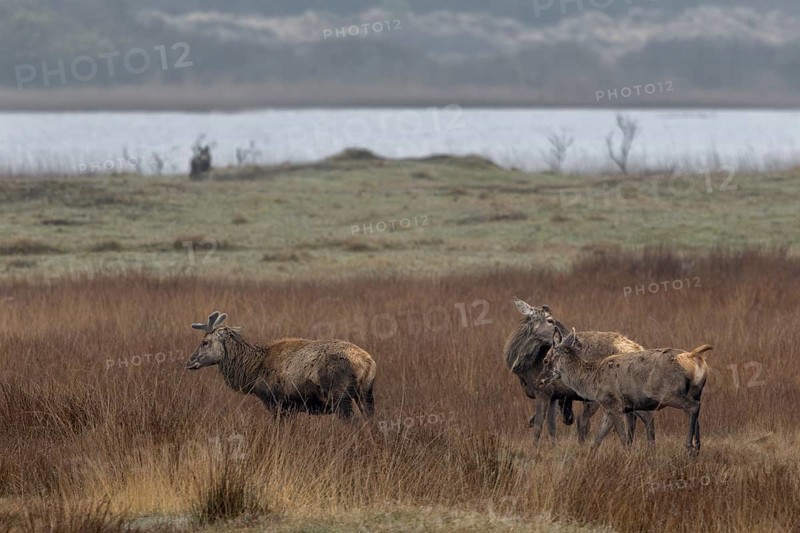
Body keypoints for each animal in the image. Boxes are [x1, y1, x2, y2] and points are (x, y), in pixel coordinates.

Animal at [185, 311, 377, 420]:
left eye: (205, 342)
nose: (189, 362)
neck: (253, 371)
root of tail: (368, 363)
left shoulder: (278, 403)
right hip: (366, 394)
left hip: (340, 395)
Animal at [504, 298, 655, 446]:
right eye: (550, 320)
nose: (573, 337)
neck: (526, 367)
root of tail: (639, 348)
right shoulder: (554, 395)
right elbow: (551, 428)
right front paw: (553, 448)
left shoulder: (544, 391)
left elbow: (538, 427)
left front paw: (536, 448)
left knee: (645, 417)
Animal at [540, 327, 712, 456]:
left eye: (546, 359)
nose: (540, 381)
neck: (592, 381)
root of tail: (694, 357)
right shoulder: (610, 409)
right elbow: (598, 438)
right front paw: (590, 455)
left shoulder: (613, 403)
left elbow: (622, 438)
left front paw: (629, 456)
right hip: (695, 391)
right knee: (694, 410)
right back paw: (697, 449)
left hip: (668, 392)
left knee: (693, 407)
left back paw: (690, 446)